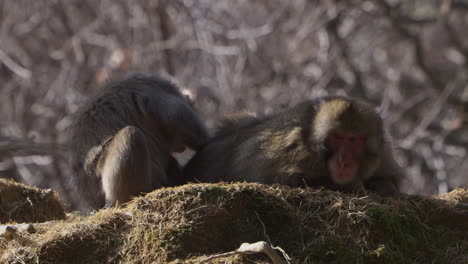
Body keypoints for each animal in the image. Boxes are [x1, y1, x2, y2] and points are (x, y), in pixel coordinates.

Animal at [185, 96, 404, 195]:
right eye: (338, 137)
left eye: (353, 140)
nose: (343, 160)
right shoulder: (291, 149)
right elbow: (283, 179)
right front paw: (354, 185)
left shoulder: (384, 152)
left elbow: (390, 179)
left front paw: (382, 186)